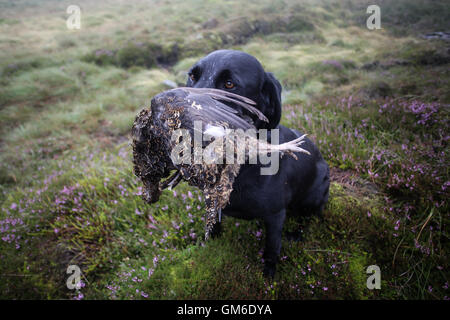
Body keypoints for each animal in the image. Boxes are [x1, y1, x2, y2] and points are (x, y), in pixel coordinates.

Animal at [186, 50, 330, 278]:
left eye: (229, 84)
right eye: (192, 76)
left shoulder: (275, 216)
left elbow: (272, 248)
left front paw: (269, 275)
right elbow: (214, 227)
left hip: (313, 197)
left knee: (310, 218)